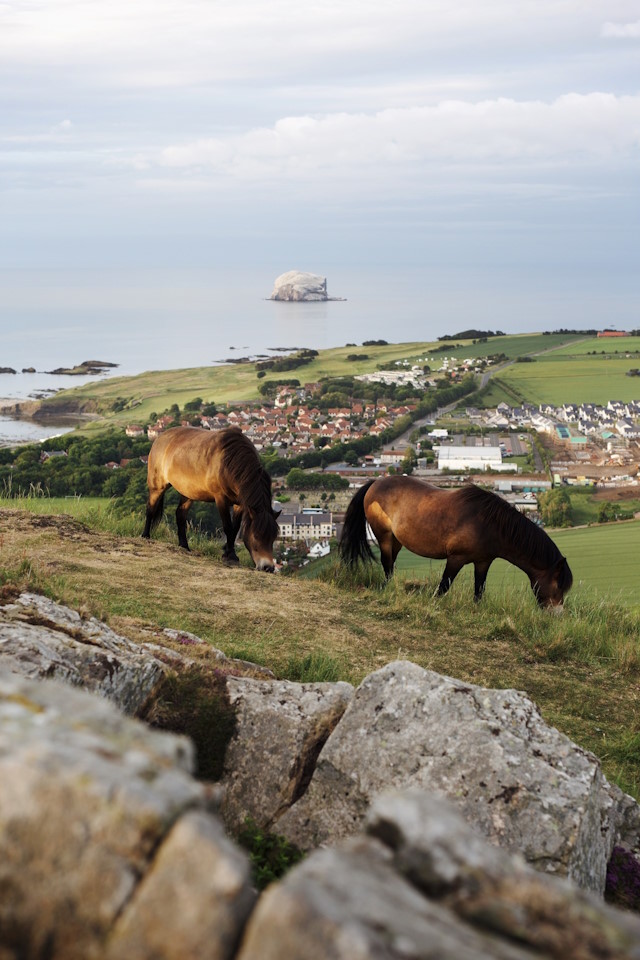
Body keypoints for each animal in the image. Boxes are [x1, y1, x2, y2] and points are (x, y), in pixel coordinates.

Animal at [142, 426, 280, 572]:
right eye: (256, 536)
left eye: (273, 537)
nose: (268, 567)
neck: (229, 462)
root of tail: (159, 438)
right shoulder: (221, 499)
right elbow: (228, 527)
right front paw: (229, 556)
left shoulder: (240, 504)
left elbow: (235, 529)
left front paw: (231, 554)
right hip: (157, 486)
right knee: (150, 508)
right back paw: (145, 535)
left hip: (188, 493)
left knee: (180, 514)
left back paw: (184, 545)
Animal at [339, 476, 573, 609]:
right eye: (557, 586)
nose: (557, 614)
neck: (489, 524)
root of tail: (375, 483)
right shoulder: (456, 559)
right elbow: (443, 587)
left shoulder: (483, 562)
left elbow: (479, 591)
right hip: (385, 537)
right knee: (387, 566)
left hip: (396, 541)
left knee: (391, 566)